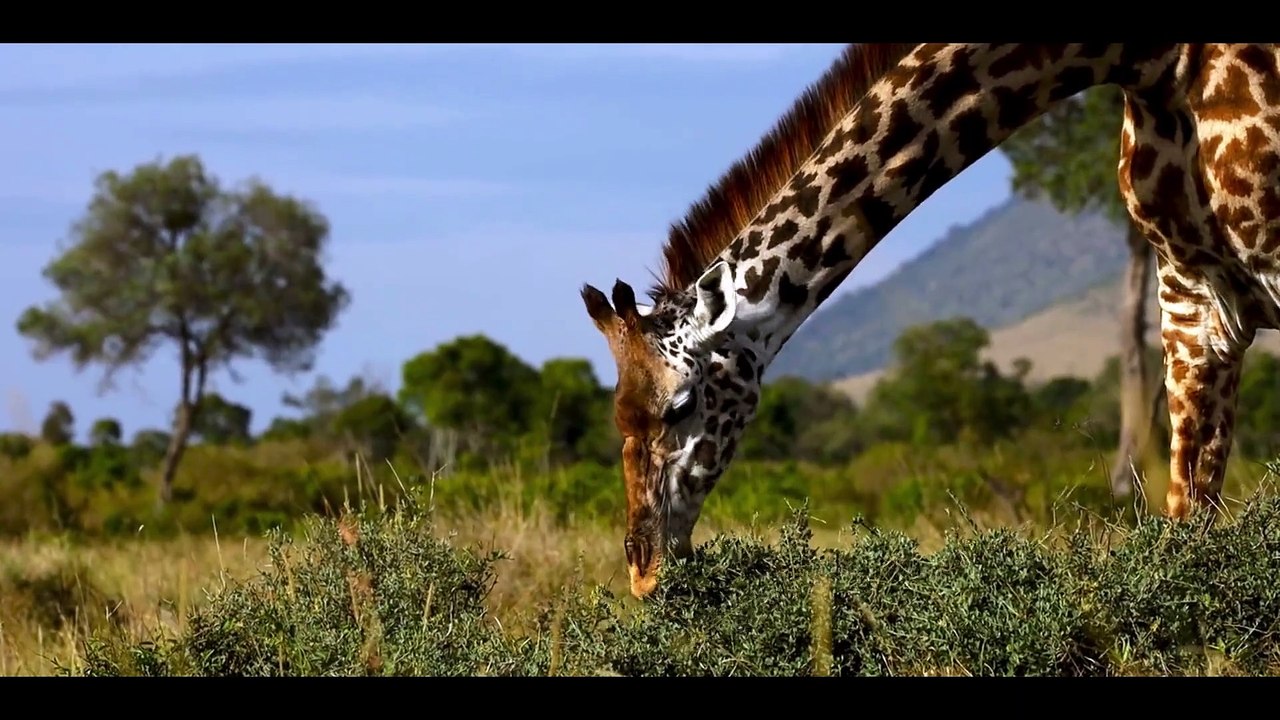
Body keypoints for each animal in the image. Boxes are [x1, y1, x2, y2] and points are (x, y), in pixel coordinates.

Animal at [580, 43, 1280, 598]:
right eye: (617, 415)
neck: (1148, 60)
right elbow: (1189, 527)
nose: (644, 572)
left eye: (681, 406)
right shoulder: (1193, 300)